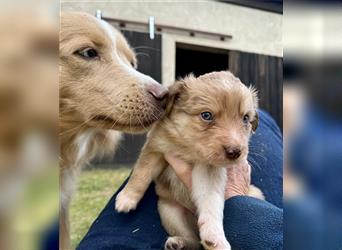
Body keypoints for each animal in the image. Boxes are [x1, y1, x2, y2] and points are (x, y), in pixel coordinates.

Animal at [116, 71, 264, 250]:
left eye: (245, 118)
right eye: (206, 115)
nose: (235, 152)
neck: (188, 148)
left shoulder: (210, 171)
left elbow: (211, 202)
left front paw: (215, 237)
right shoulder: (156, 148)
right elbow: (141, 174)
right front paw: (126, 198)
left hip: (256, 194)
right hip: (170, 212)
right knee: (192, 240)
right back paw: (178, 243)